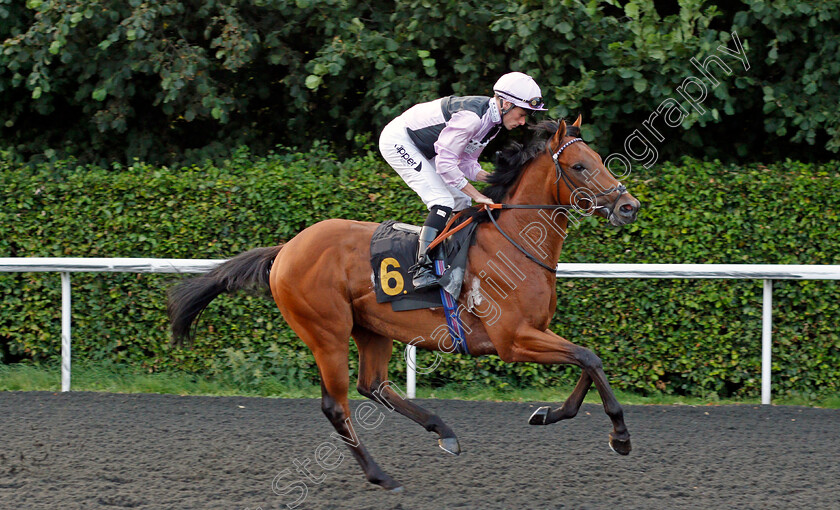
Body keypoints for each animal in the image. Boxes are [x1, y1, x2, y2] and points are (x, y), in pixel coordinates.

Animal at [169, 115, 644, 490]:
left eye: (600, 159)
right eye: (579, 166)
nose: (629, 206)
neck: (514, 243)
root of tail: (286, 249)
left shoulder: (537, 331)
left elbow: (587, 360)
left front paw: (548, 414)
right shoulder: (513, 339)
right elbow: (588, 357)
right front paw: (620, 436)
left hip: (371, 329)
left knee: (374, 385)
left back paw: (443, 431)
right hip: (327, 333)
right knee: (337, 405)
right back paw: (380, 475)